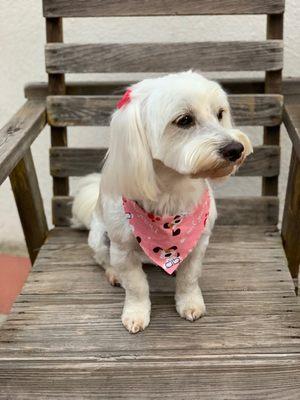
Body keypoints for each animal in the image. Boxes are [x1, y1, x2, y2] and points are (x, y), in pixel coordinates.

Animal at [72, 70, 253, 332]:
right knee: (102, 258)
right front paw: (136, 313)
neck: (172, 192)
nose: (236, 149)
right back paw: (114, 274)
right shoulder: (123, 249)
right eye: (185, 120)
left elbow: (189, 277)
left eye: (220, 114)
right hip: (99, 237)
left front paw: (190, 303)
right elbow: (136, 285)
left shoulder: (199, 242)